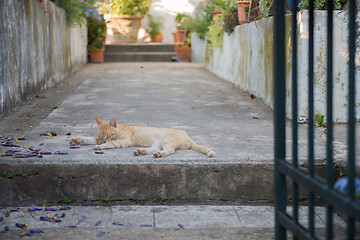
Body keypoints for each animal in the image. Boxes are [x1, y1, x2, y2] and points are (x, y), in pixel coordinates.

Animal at [70, 117, 217, 158]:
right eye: (101, 136)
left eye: (109, 135)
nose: (103, 140)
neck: (121, 127)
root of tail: (187, 135)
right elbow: (88, 138)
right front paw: (77, 140)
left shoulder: (124, 141)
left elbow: (111, 144)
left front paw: (101, 146)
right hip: (157, 143)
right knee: (155, 149)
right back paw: (141, 151)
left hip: (167, 141)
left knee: (170, 150)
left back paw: (158, 155)